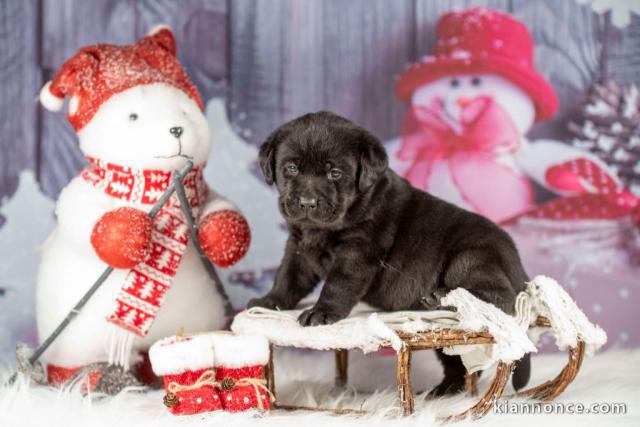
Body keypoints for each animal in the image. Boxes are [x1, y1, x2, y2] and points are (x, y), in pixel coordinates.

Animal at [249, 111, 528, 394]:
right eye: (291, 168)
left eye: (335, 173)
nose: (307, 202)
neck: (321, 229)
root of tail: (515, 259)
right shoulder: (298, 248)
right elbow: (287, 277)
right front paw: (269, 300)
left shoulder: (358, 250)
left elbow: (338, 283)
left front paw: (322, 312)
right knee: (458, 362)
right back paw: (443, 390)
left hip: (470, 257)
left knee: (501, 297)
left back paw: (441, 299)